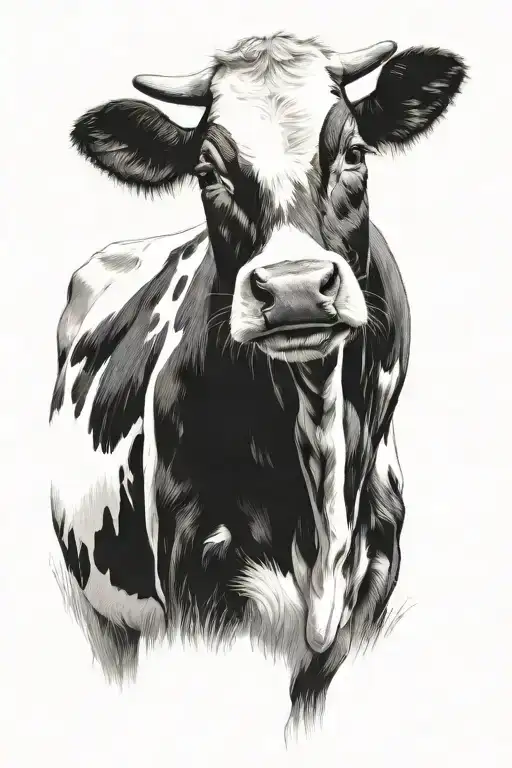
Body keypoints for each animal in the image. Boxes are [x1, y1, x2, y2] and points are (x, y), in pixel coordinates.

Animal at [50, 33, 467, 733]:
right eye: (207, 174)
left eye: (354, 152)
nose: (295, 289)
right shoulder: (195, 582)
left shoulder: (372, 590)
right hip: (101, 611)